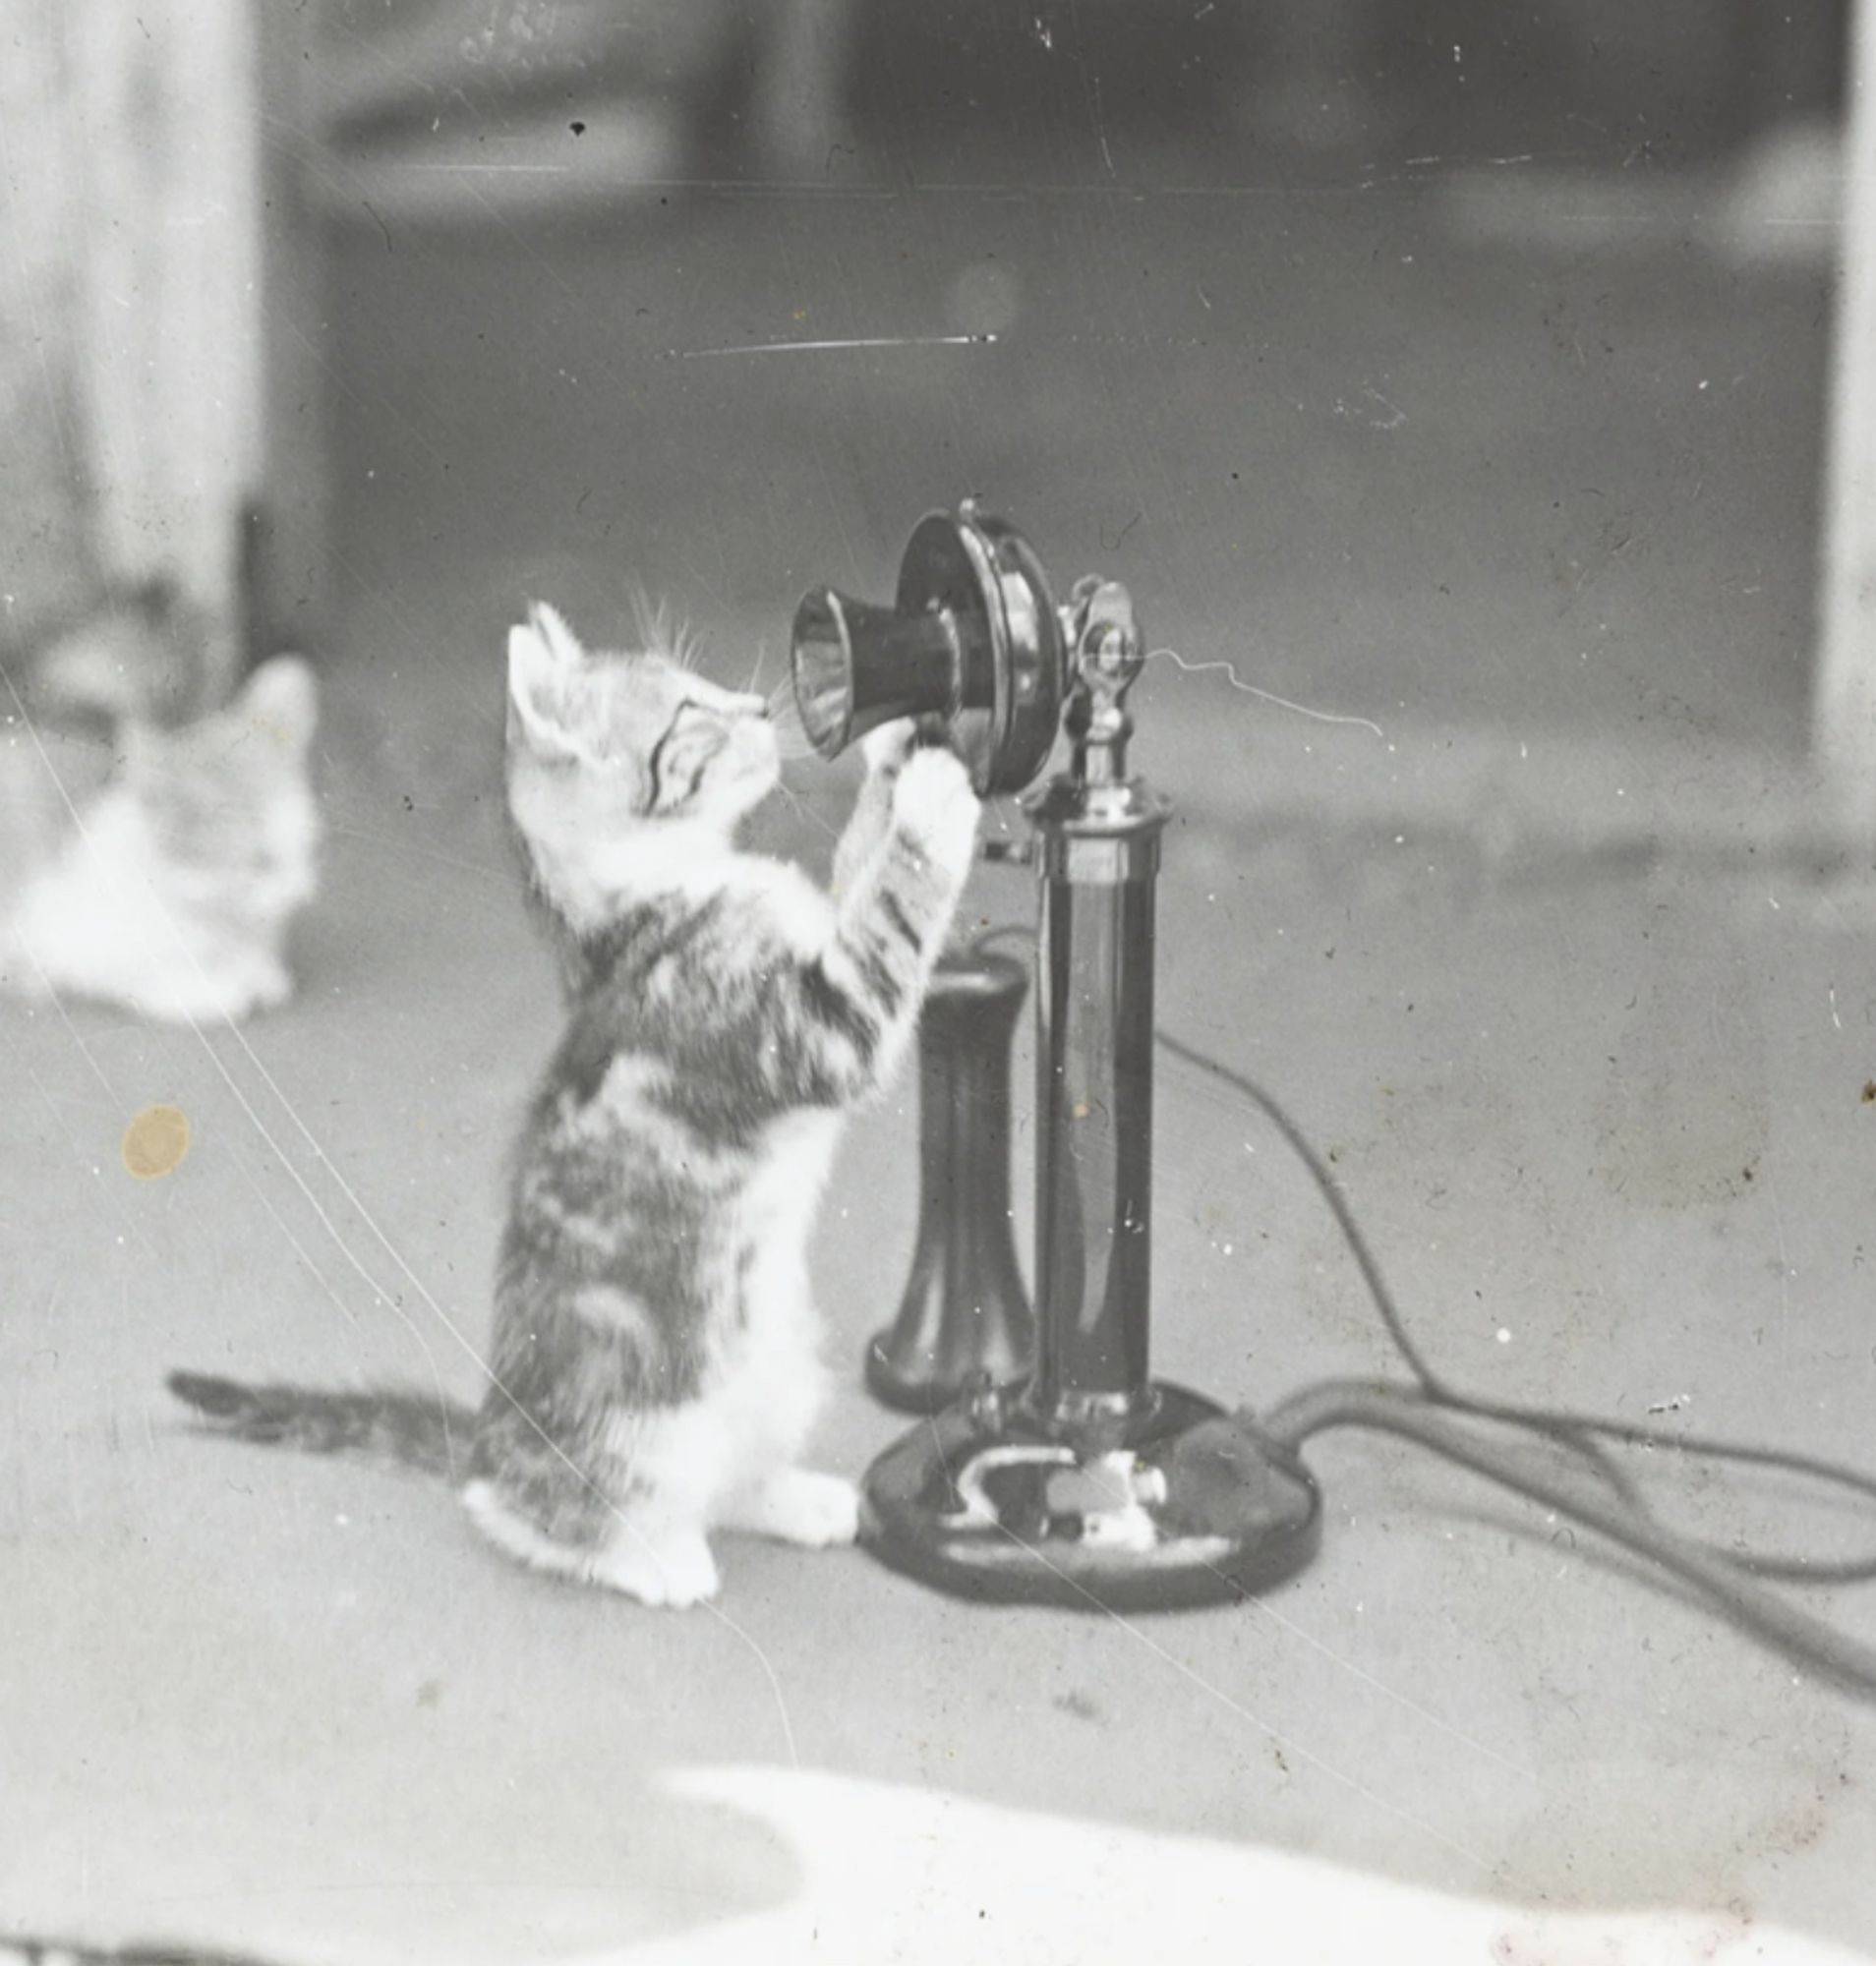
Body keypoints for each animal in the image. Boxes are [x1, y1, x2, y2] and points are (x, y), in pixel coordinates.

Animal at [1, 574, 322, 1022]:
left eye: (284, 803)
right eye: (213, 814)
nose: (283, 871)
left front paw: (261, 971)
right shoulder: (70, 939)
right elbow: (140, 977)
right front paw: (211, 991)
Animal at [170, 602, 987, 1612]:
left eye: (709, 685)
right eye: (689, 713)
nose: (762, 706)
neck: (651, 899)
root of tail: (489, 1433)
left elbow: (857, 868)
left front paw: (892, 754)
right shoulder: (811, 1030)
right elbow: (889, 917)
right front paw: (934, 801)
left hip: (781, 1362)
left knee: (728, 1479)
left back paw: (790, 1499)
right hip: (638, 1418)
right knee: (526, 1509)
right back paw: (651, 1559)